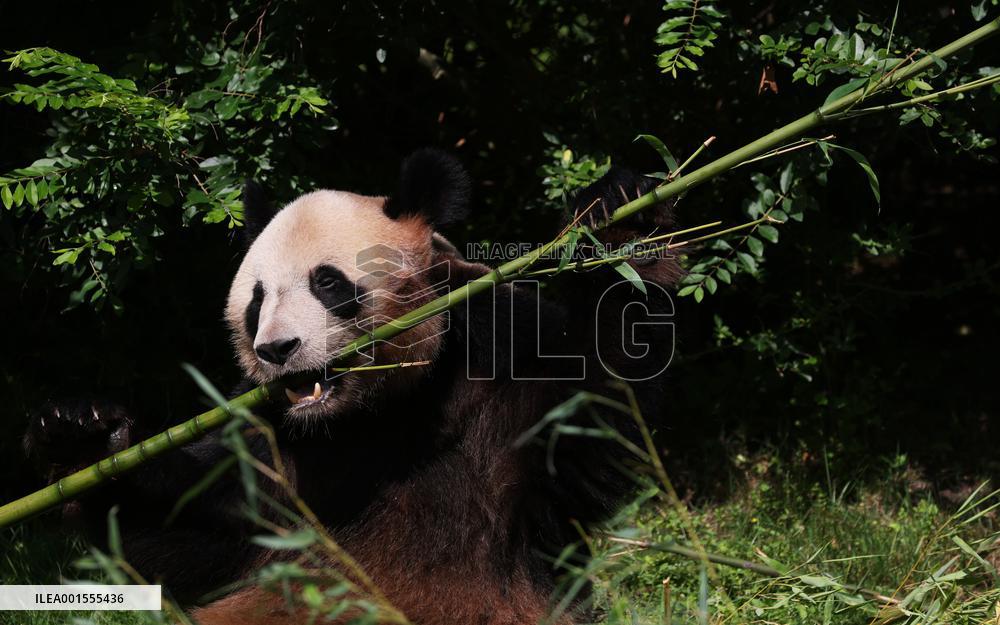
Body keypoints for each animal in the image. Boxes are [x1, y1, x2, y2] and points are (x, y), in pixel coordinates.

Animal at [24, 149, 681, 625]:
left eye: (328, 284)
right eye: (257, 300)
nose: (275, 350)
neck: (374, 412)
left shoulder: (501, 368)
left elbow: (597, 395)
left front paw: (621, 211)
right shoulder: (272, 446)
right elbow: (191, 537)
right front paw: (80, 432)